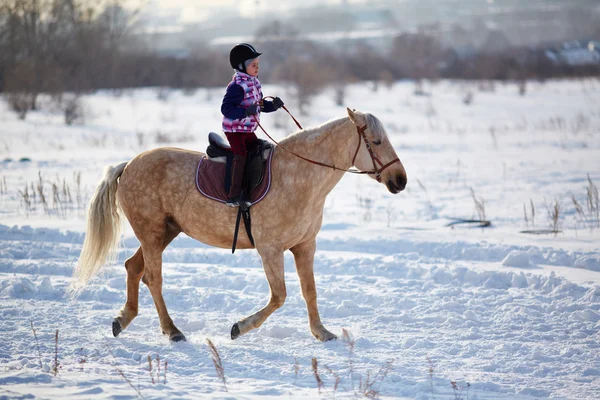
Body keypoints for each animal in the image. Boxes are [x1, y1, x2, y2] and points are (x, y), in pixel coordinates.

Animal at [71, 108, 408, 342]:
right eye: (376, 141)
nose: (400, 180)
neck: (299, 177)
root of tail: (128, 165)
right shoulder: (270, 249)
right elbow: (279, 296)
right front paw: (239, 328)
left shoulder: (304, 246)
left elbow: (309, 291)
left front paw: (322, 332)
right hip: (152, 234)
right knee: (153, 278)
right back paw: (172, 330)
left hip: (163, 232)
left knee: (133, 268)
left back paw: (123, 320)